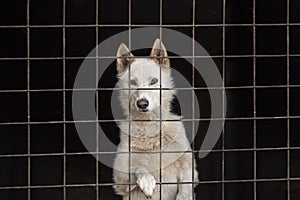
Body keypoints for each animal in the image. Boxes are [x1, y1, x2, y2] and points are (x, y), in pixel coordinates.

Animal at [111, 39, 198, 200]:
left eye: (154, 81)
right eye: (133, 83)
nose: (142, 103)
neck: (150, 126)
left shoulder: (188, 166)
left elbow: (186, 188)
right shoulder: (119, 179)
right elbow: (137, 167)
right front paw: (146, 180)